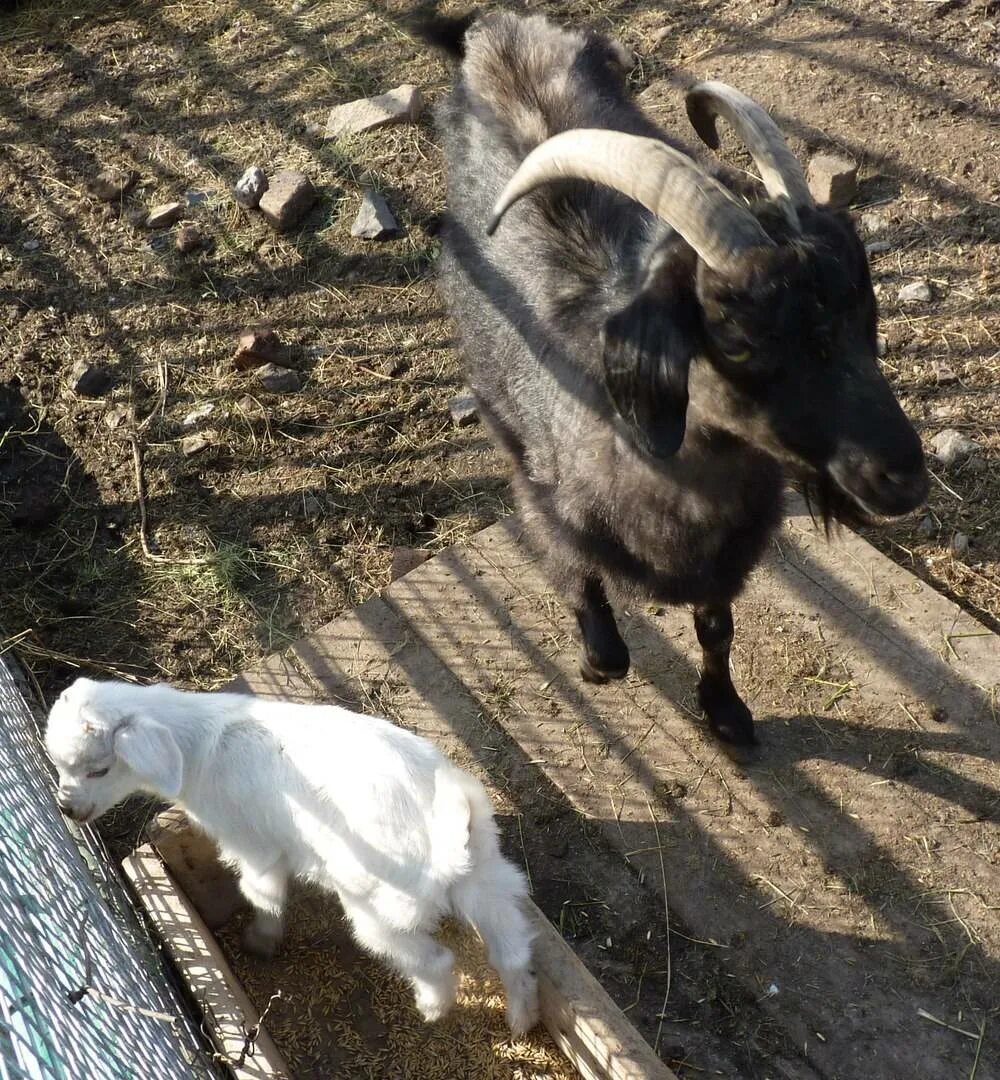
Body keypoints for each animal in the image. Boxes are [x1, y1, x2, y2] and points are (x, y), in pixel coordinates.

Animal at [425, 10, 933, 751]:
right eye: (738, 340)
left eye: (864, 309)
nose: (904, 476)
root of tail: (497, 28)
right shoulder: (550, 507)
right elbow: (592, 608)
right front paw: (596, 662)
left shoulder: (726, 553)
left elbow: (717, 630)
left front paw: (725, 712)